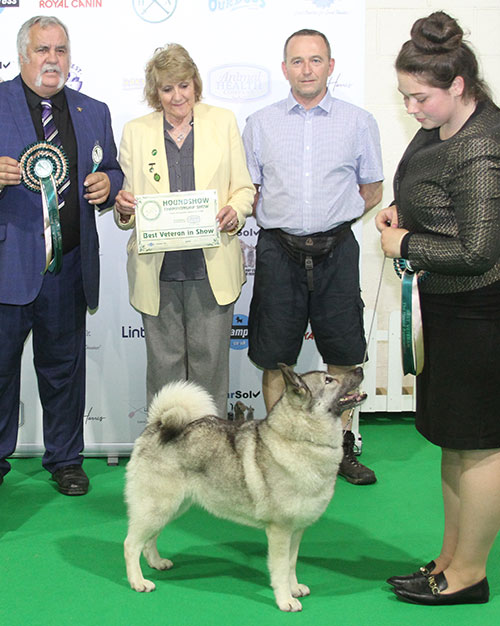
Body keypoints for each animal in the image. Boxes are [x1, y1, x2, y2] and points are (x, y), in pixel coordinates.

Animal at [124, 360, 368, 608]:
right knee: (131, 544)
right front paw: (285, 600)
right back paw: (138, 581)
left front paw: (294, 588)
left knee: (149, 540)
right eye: (328, 380)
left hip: (171, 508)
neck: (299, 440)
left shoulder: (296, 531)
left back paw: (157, 562)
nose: (360, 369)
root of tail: (157, 425)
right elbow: (281, 569)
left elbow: (291, 565)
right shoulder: (280, 531)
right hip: (157, 507)